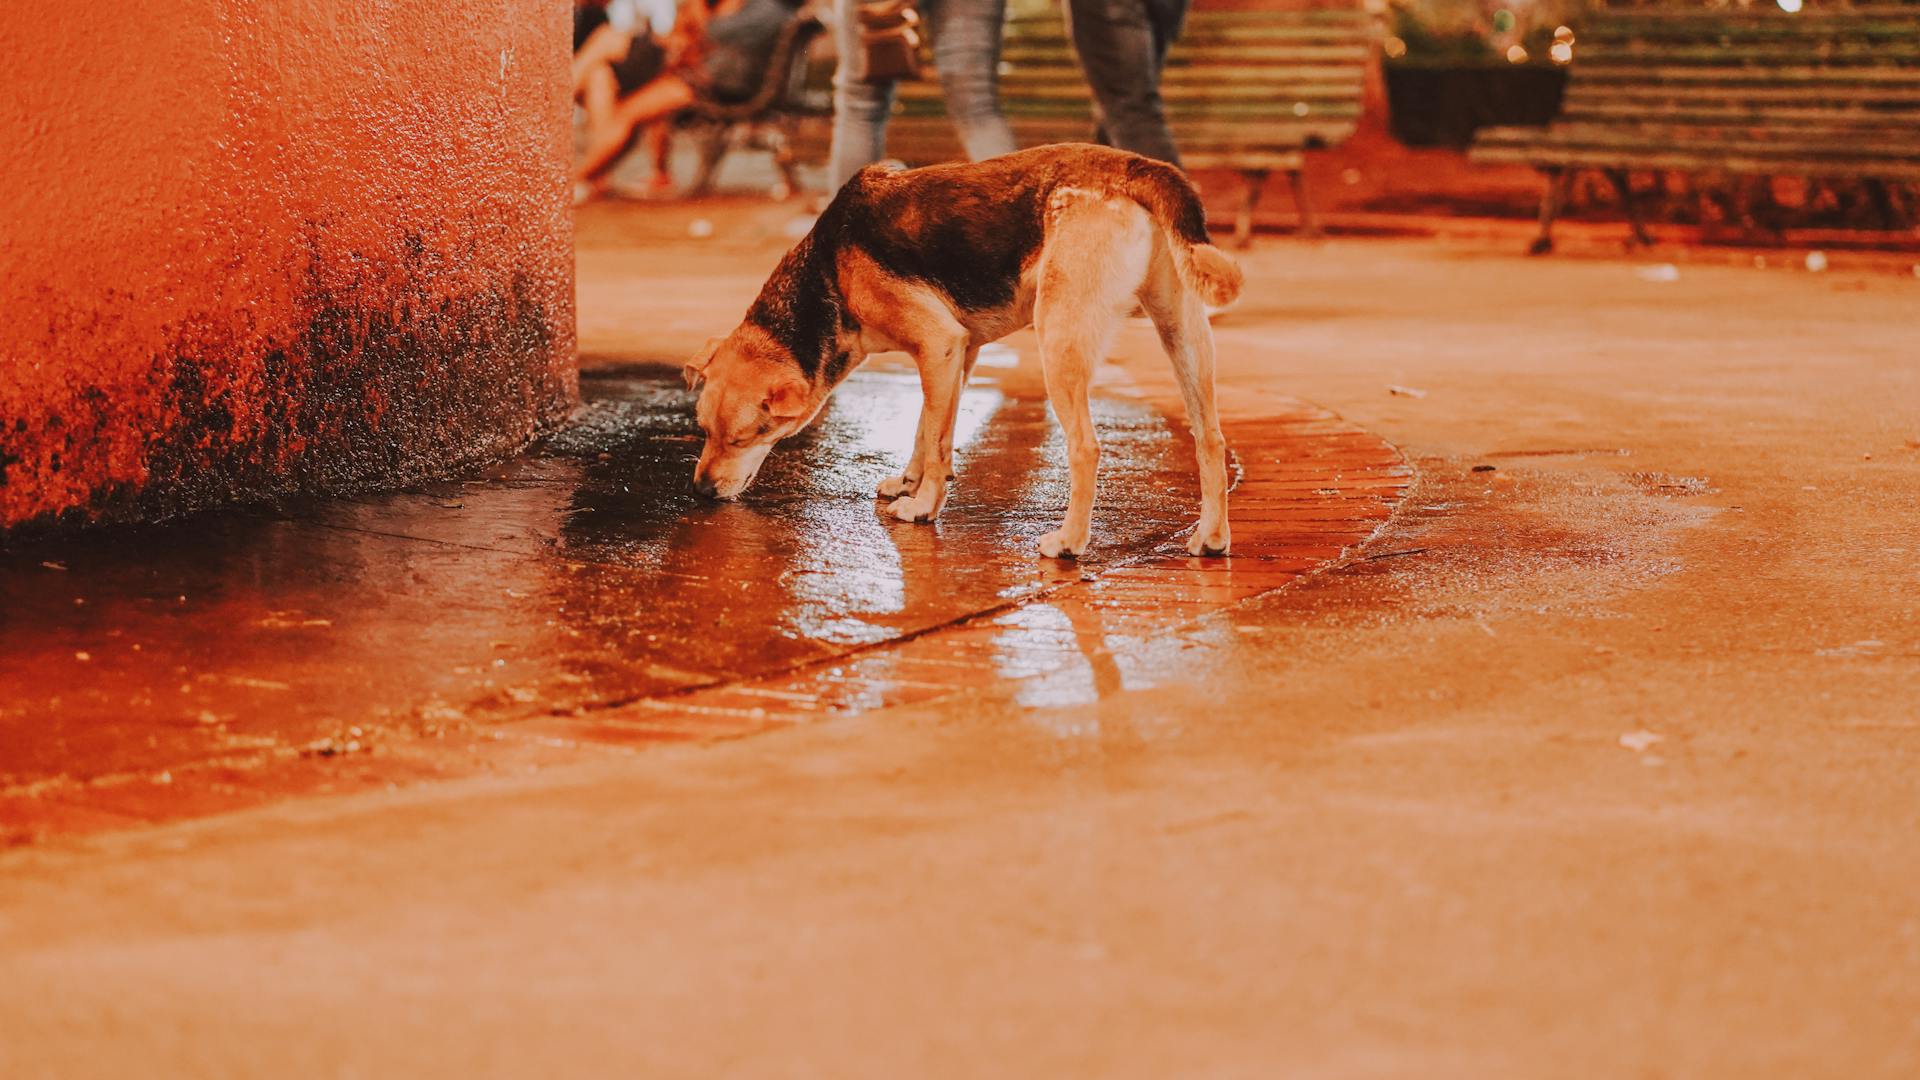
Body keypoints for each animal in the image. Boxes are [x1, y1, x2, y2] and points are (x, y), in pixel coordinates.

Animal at [687, 143, 1244, 553]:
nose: (700, 491)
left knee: (1086, 447)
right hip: (1183, 332)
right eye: (703, 431)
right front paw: (909, 482)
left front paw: (923, 506)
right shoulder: (959, 353)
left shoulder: (939, 345)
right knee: (1211, 437)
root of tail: (1134, 166)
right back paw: (1212, 537)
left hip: (1059, 339)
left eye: (744, 438)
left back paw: (1069, 542)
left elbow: (936, 443)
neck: (829, 269)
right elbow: (928, 426)